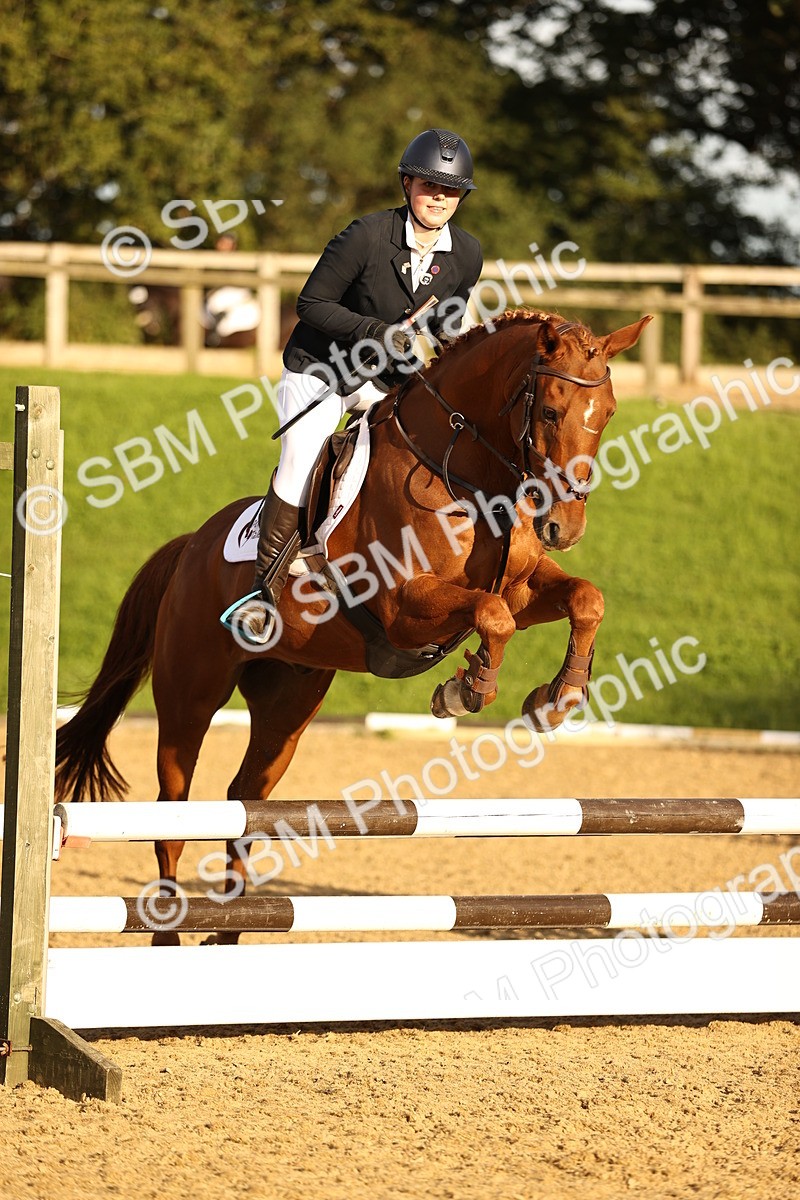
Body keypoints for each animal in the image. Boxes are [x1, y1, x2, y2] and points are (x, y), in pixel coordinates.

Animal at [54, 309, 651, 942]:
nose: (565, 526)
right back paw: (169, 933)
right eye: (551, 411)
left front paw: (557, 697)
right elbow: (493, 618)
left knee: (245, 802)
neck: (467, 474)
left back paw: (229, 934)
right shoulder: (404, 608)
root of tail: (192, 546)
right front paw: (467, 689)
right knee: (174, 811)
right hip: (189, 695)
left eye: (608, 412)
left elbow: (584, 600)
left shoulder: (521, 586)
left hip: (287, 706)